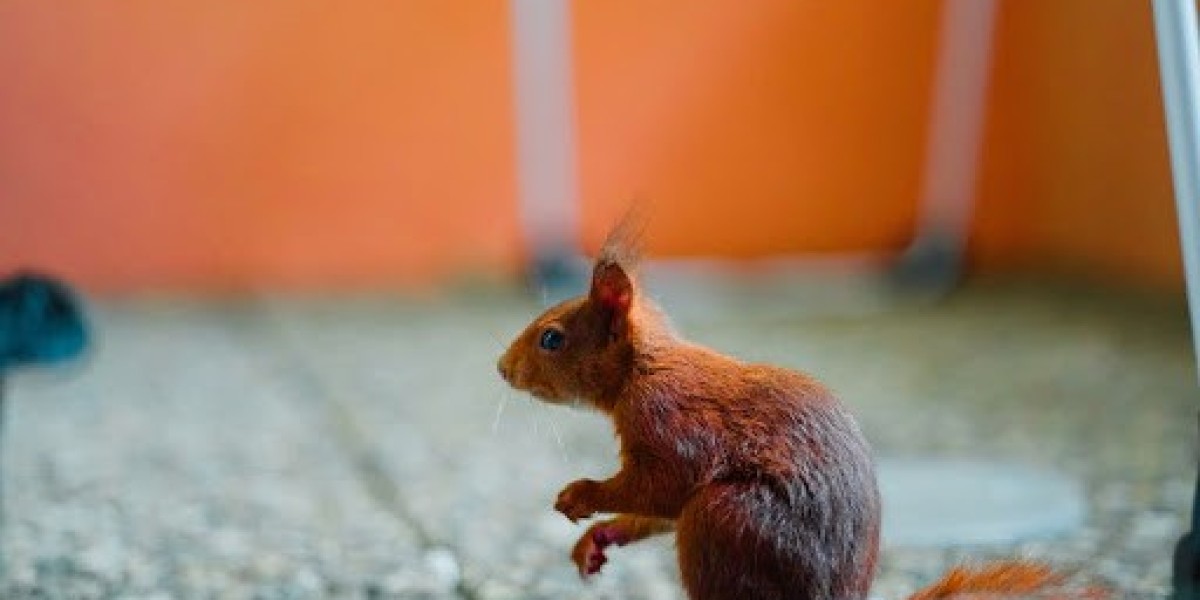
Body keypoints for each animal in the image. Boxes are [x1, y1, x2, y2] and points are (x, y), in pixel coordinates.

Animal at [497, 217, 1103, 600]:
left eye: (551, 339)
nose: (502, 369)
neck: (645, 368)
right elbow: (655, 509)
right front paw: (597, 540)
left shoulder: (671, 422)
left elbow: (662, 486)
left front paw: (581, 495)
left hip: (728, 519)